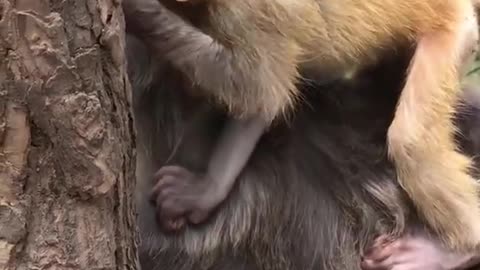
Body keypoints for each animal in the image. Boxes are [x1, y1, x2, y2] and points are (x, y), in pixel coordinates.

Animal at [124, 0, 480, 251]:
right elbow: (262, 105)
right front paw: (205, 192)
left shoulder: (246, 13)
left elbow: (257, 88)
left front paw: (141, 14)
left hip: (456, 31)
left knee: (410, 141)